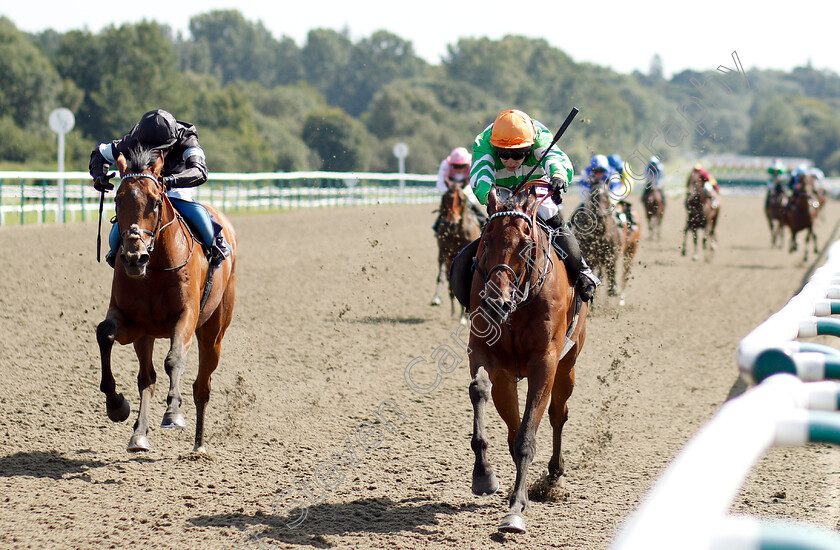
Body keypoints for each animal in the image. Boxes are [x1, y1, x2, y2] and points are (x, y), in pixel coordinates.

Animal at [97, 146, 238, 452]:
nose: (134, 257)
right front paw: (116, 405)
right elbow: (105, 334)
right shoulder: (132, 322)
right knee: (147, 379)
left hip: (213, 332)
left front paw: (173, 412)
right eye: (117, 200)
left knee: (202, 386)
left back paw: (198, 445)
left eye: (154, 202)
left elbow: (174, 359)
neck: (155, 269)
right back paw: (139, 435)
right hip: (146, 335)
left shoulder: (185, 316)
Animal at [434, 181, 480, 324]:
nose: (451, 221)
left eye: (460, 199)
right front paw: (456, 313)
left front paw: (463, 317)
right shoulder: (447, 255)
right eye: (445, 198)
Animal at [470, 180, 588, 536]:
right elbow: (479, 390)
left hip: (568, 365)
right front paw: (484, 474)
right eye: (487, 240)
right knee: (511, 424)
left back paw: (553, 476)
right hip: (508, 377)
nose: (496, 302)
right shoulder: (484, 351)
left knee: (557, 414)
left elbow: (527, 436)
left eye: (524, 245)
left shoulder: (545, 362)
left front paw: (516, 510)